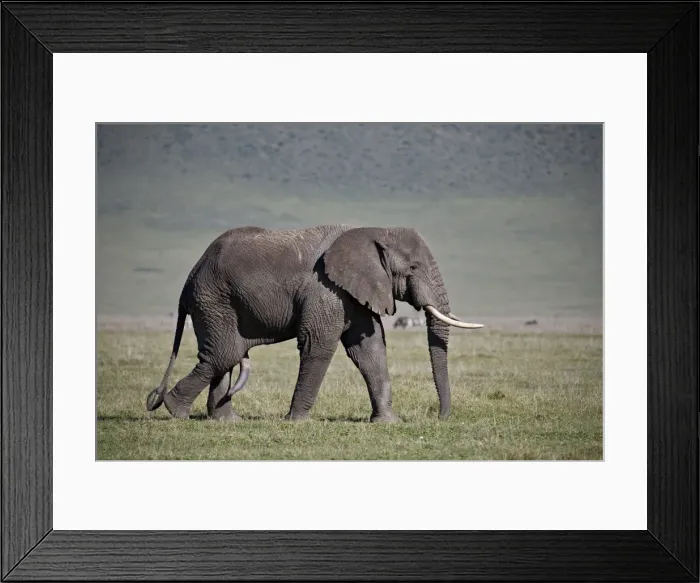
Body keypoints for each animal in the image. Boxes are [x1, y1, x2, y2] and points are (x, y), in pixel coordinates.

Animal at [146, 225, 483, 423]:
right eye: (413, 268)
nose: (440, 418)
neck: (371, 232)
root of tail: (190, 276)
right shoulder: (325, 288)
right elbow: (318, 344)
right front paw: (298, 422)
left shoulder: (351, 290)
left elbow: (369, 348)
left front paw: (388, 422)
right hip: (214, 299)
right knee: (223, 353)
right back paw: (175, 411)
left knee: (226, 356)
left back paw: (227, 422)